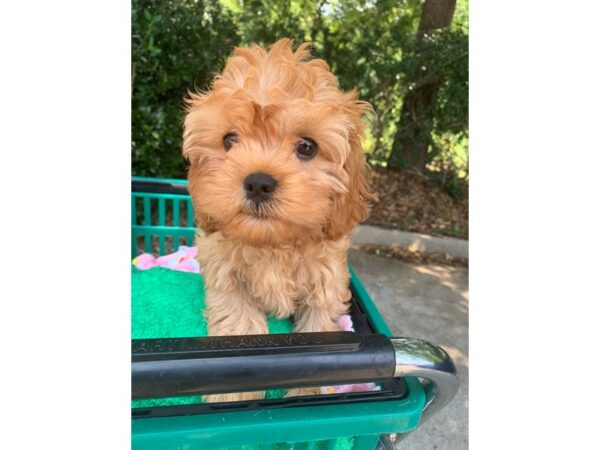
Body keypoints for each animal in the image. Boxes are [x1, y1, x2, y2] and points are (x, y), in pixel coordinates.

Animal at [180, 38, 372, 400]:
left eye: (307, 146)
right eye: (229, 140)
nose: (258, 182)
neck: (273, 243)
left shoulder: (326, 283)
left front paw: (304, 395)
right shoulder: (226, 276)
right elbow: (238, 326)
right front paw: (233, 395)